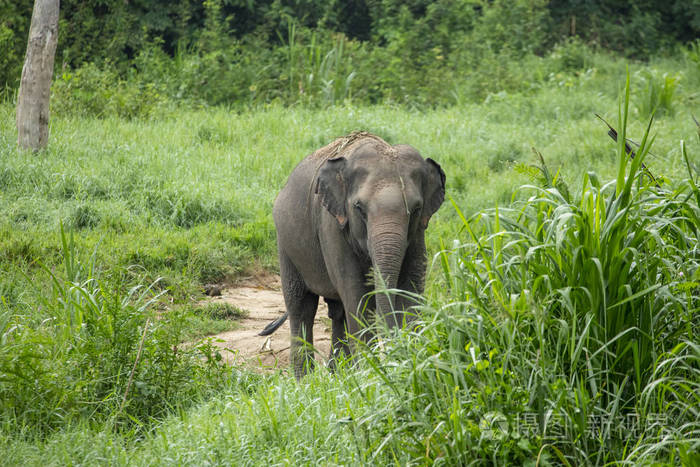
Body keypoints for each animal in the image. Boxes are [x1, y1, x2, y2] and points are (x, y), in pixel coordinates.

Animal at [260, 131, 446, 376]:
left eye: (416, 209)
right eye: (359, 208)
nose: (394, 352)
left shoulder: (417, 234)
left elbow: (410, 287)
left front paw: (409, 359)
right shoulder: (332, 224)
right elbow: (356, 292)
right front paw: (371, 372)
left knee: (336, 311)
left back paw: (338, 373)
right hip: (286, 245)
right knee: (301, 308)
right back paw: (305, 379)